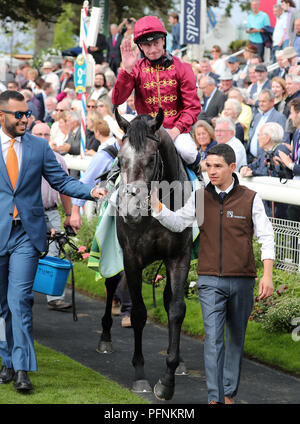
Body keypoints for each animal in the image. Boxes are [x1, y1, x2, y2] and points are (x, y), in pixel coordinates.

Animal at [97, 109, 193, 400]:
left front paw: (168, 379)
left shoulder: (179, 257)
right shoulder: (131, 259)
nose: (130, 209)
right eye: (120, 159)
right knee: (110, 285)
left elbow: (176, 309)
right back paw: (105, 336)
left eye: (152, 159)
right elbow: (139, 313)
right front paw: (140, 375)